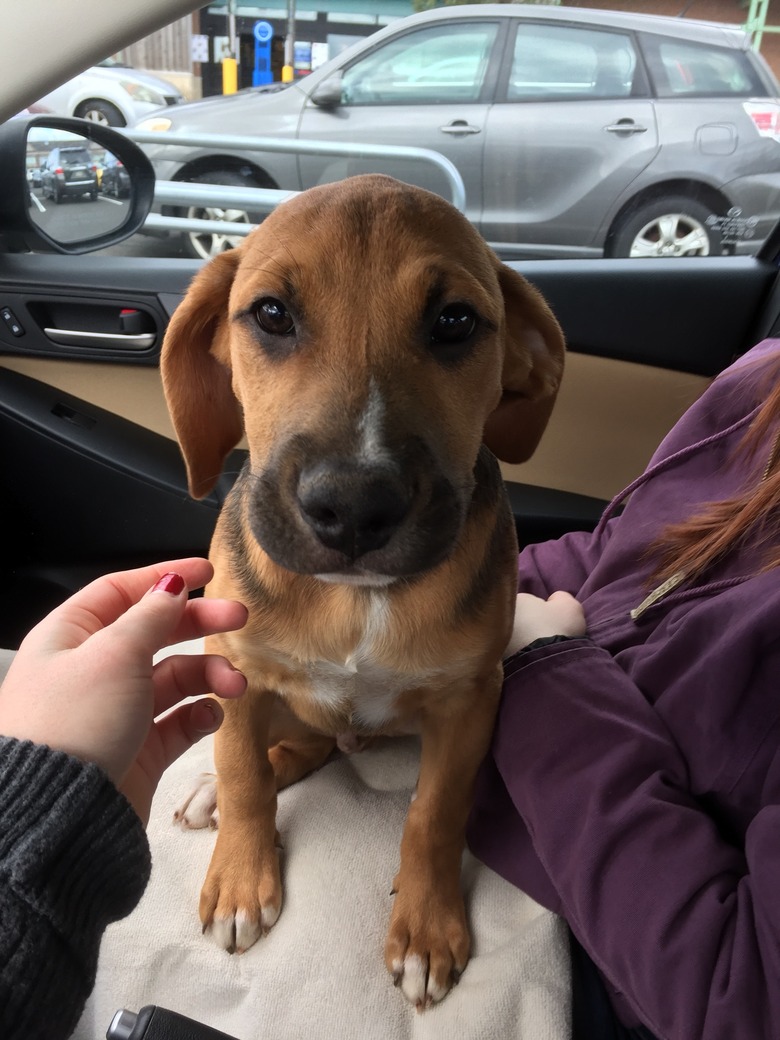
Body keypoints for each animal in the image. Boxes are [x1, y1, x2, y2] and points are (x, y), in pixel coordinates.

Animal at [162, 174, 565, 1010]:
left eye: (455, 321)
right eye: (271, 314)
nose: (352, 506)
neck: (356, 599)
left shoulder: (470, 699)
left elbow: (434, 813)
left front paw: (427, 929)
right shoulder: (236, 666)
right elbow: (245, 772)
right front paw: (242, 879)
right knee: (275, 748)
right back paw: (216, 790)